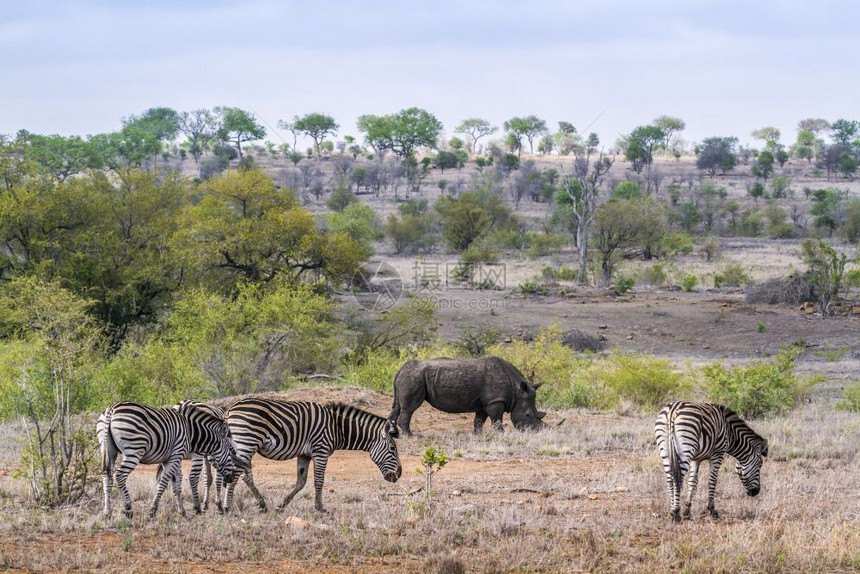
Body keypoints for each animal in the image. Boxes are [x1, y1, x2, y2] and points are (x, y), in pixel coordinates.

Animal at [98, 400, 235, 520]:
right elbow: (164, 483)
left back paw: (107, 513)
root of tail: (112, 408)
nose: (231, 478)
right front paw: (153, 511)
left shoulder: (174, 457)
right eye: (230, 450)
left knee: (106, 476)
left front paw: (182, 511)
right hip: (134, 450)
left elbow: (175, 484)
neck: (190, 432)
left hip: (108, 450)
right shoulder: (175, 456)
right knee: (120, 475)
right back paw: (129, 509)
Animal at [218, 398, 400, 516]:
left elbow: (301, 482)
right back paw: (227, 508)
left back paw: (262, 505)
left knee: (245, 476)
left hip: (244, 446)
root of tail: (230, 410)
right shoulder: (321, 451)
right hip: (247, 442)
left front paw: (281, 505)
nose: (398, 475)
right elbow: (319, 481)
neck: (337, 427)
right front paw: (321, 508)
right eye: (392, 449)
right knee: (235, 475)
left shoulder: (304, 454)